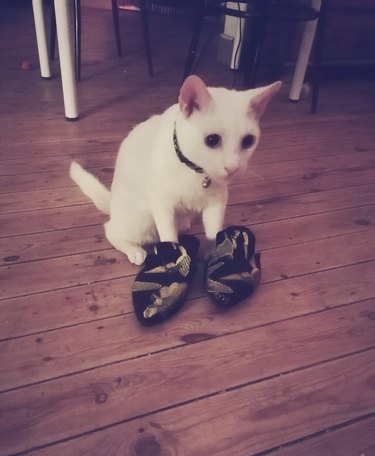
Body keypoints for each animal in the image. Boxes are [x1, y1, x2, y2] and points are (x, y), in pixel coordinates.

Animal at [70, 76, 282, 266]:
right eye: (212, 140)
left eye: (248, 141)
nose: (233, 167)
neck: (196, 171)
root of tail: (112, 201)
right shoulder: (161, 203)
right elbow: (168, 236)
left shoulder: (217, 202)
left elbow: (214, 231)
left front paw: (213, 252)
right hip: (142, 218)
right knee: (111, 229)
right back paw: (135, 250)